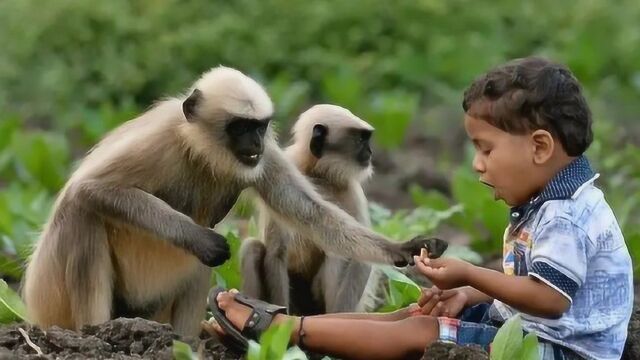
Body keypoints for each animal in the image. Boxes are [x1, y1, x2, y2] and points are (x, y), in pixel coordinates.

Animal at [23, 65, 436, 338]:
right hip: (51, 300)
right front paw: (201, 238)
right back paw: (94, 334)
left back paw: (184, 341)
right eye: (240, 127)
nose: (253, 144)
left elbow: (311, 214)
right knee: (82, 211)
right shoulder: (160, 138)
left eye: (259, 127)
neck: (201, 151)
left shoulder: (265, 156)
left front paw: (405, 248)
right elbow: (89, 188)